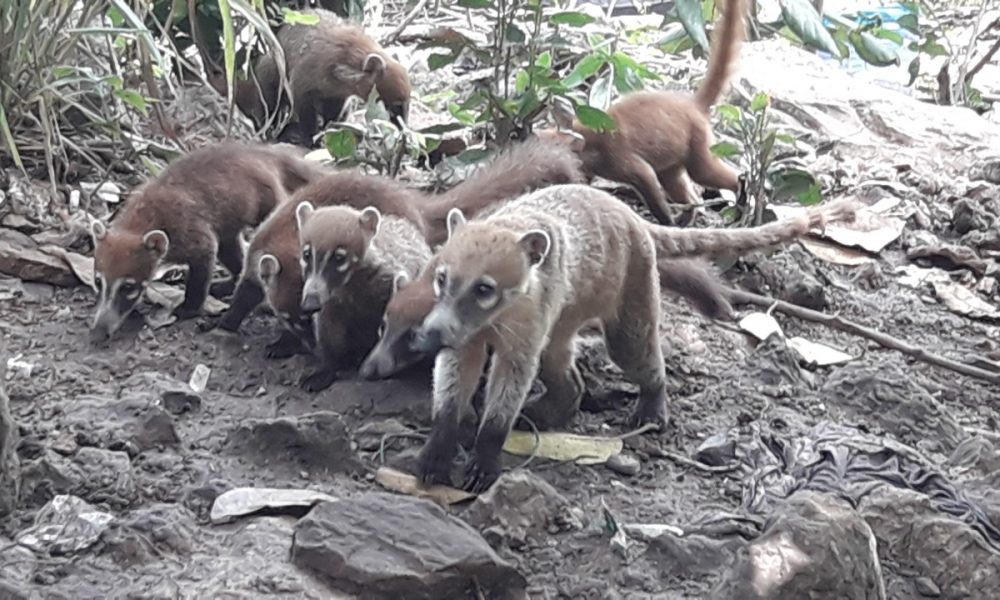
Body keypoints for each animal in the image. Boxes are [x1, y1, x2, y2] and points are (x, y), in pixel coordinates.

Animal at [88, 142, 323, 343]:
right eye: (98, 281)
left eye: (128, 287)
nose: (98, 333)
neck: (141, 220)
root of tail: (271, 154)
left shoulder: (188, 228)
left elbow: (204, 260)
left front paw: (189, 307)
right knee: (231, 247)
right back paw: (230, 281)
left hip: (268, 198)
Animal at [408, 184, 857, 491]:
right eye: (441, 278)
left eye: (484, 289)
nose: (430, 334)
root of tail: (631, 213)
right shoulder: (468, 331)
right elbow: (454, 370)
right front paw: (439, 444)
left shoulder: (531, 312)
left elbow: (514, 373)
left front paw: (487, 449)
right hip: (569, 308)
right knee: (559, 359)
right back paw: (559, 403)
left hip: (634, 280)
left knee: (632, 349)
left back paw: (651, 402)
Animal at [536, 0, 747, 226]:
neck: (588, 136)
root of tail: (692, 104)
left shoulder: (620, 158)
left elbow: (648, 184)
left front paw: (665, 221)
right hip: (672, 161)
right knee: (689, 195)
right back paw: (687, 217)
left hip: (698, 147)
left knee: (714, 174)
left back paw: (741, 200)